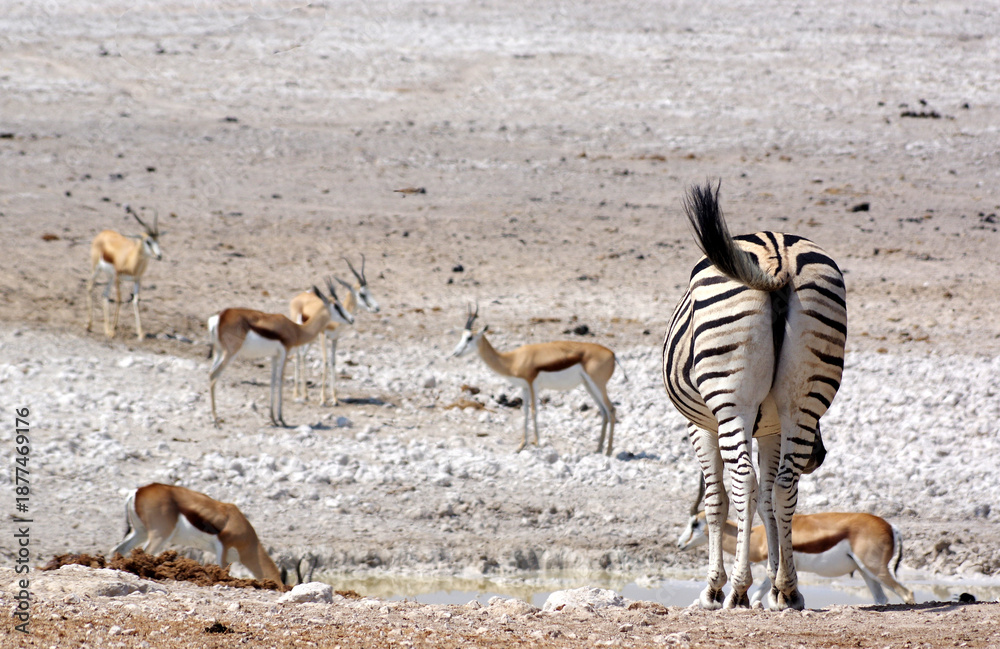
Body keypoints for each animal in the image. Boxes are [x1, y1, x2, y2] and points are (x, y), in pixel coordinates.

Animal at [662, 183, 847, 611]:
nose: (818, 458)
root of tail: (778, 256)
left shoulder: (700, 426)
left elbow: (717, 499)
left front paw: (715, 588)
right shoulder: (772, 429)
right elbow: (767, 501)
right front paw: (776, 586)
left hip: (731, 400)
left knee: (743, 480)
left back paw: (737, 588)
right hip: (802, 399)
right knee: (784, 484)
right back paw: (791, 590)